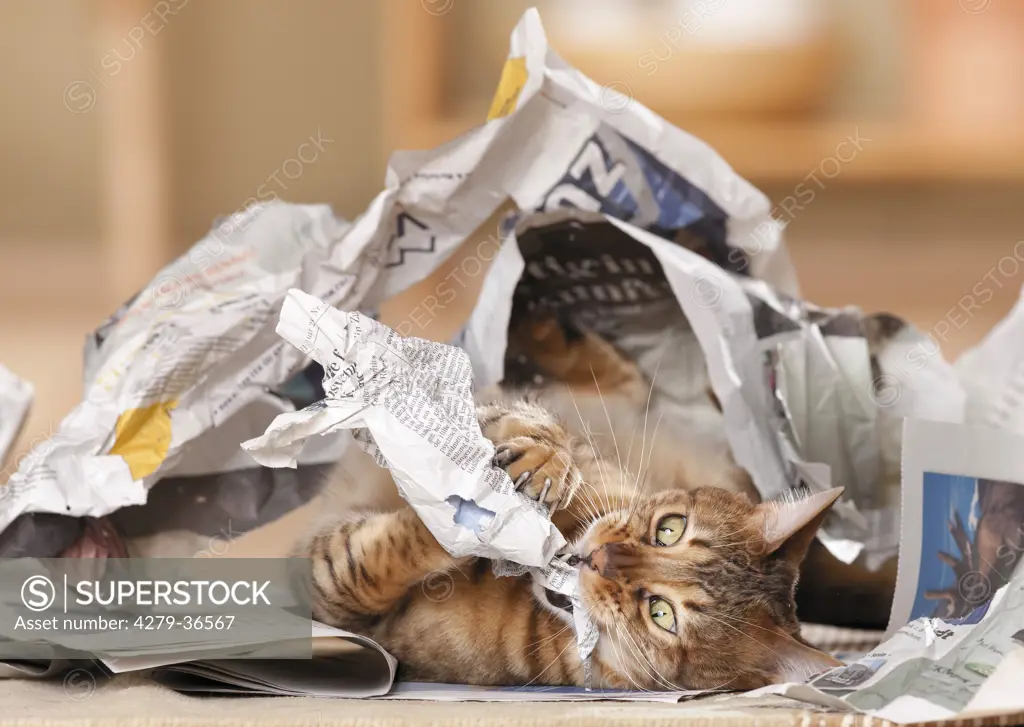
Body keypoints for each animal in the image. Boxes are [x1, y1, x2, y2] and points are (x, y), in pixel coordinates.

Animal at [299, 315, 843, 692]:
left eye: (661, 614)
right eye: (669, 529)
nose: (600, 557)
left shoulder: (344, 606)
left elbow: (372, 564)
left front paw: (479, 518)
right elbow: (535, 428)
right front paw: (541, 462)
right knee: (613, 373)